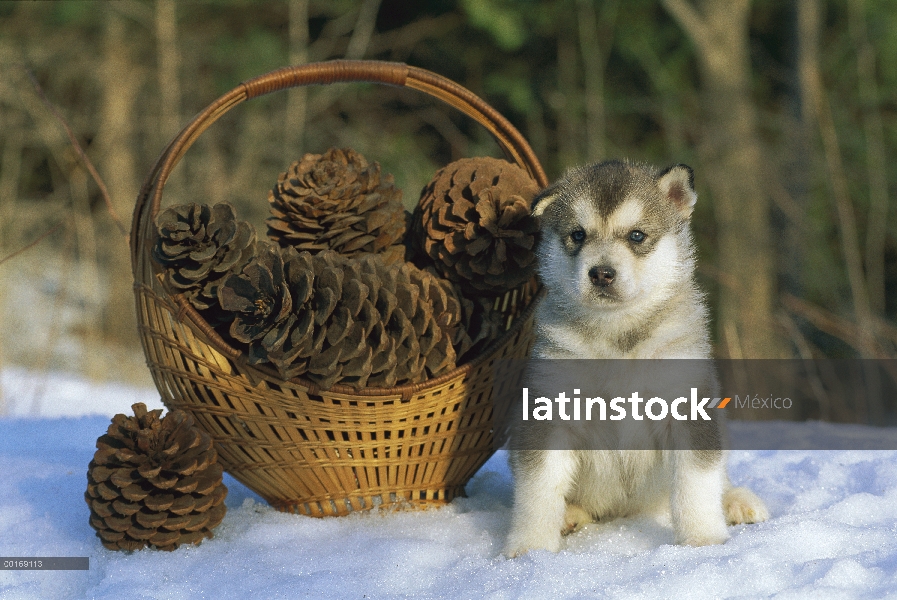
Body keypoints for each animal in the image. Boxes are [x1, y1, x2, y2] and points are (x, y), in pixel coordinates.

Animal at [504, 161, 768, 556]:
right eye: (578, 235)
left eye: (637, 236)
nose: (601, 273)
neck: (617, 331)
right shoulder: (548, 411)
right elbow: (539, 488)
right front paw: (530, 548)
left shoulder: (688, 407)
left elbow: (696, 482)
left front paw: (703, 538)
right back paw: (570, 515)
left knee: (720, 477)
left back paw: (737, 501)